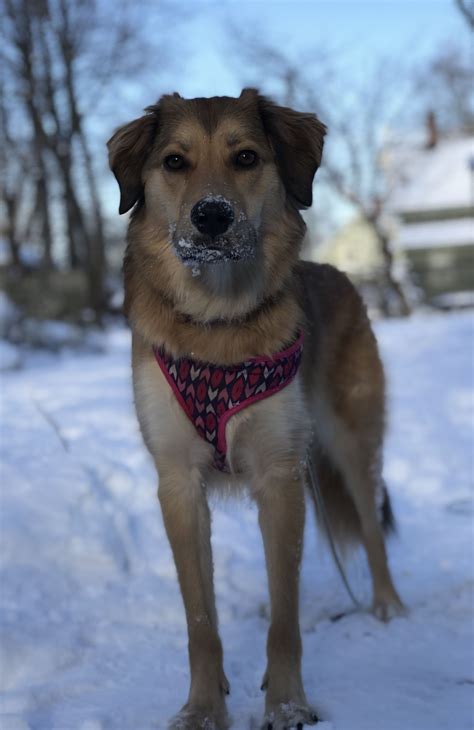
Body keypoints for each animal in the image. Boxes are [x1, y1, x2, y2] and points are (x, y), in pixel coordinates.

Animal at [107, 91, 404, 728]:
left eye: (245, 157)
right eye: (174, 162)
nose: (212, 216)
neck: (216, 322)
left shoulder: (280, 474)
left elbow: (286, 622)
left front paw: (287, 704)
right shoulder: (178, 484)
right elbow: (200, 620)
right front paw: (202, 708)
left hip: (351, 443)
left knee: (371, 527)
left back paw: (388, 605)